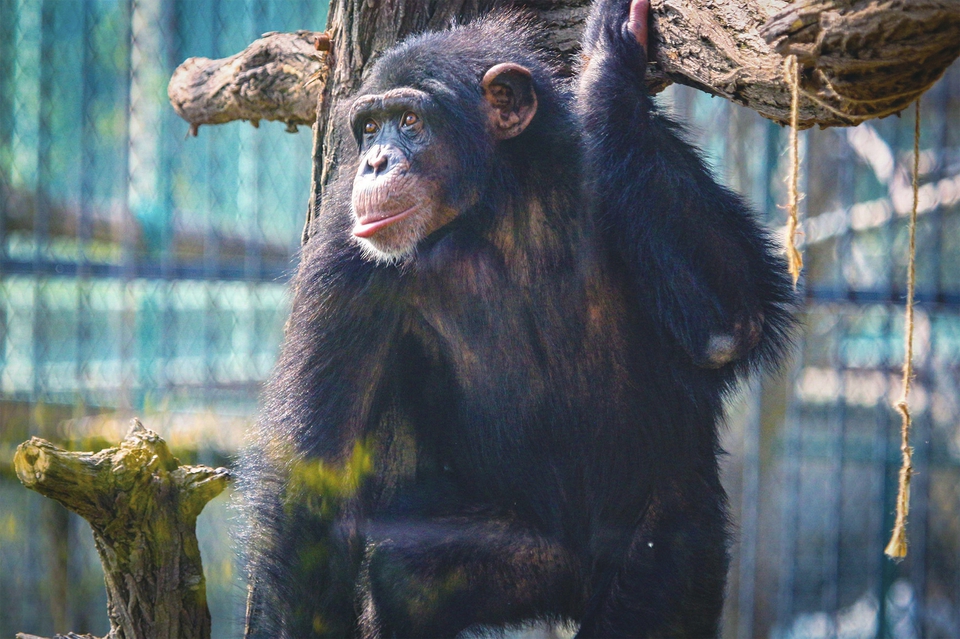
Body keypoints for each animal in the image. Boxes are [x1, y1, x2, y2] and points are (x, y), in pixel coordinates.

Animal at [238, 0, 796, 636]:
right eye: (370, 127)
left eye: (409, 121)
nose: (374, 163)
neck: (498, 206)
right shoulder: (343, 255)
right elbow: (314, 478)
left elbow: (732, 327)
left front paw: (608, 68)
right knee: (408, 572)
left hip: (673, 552)